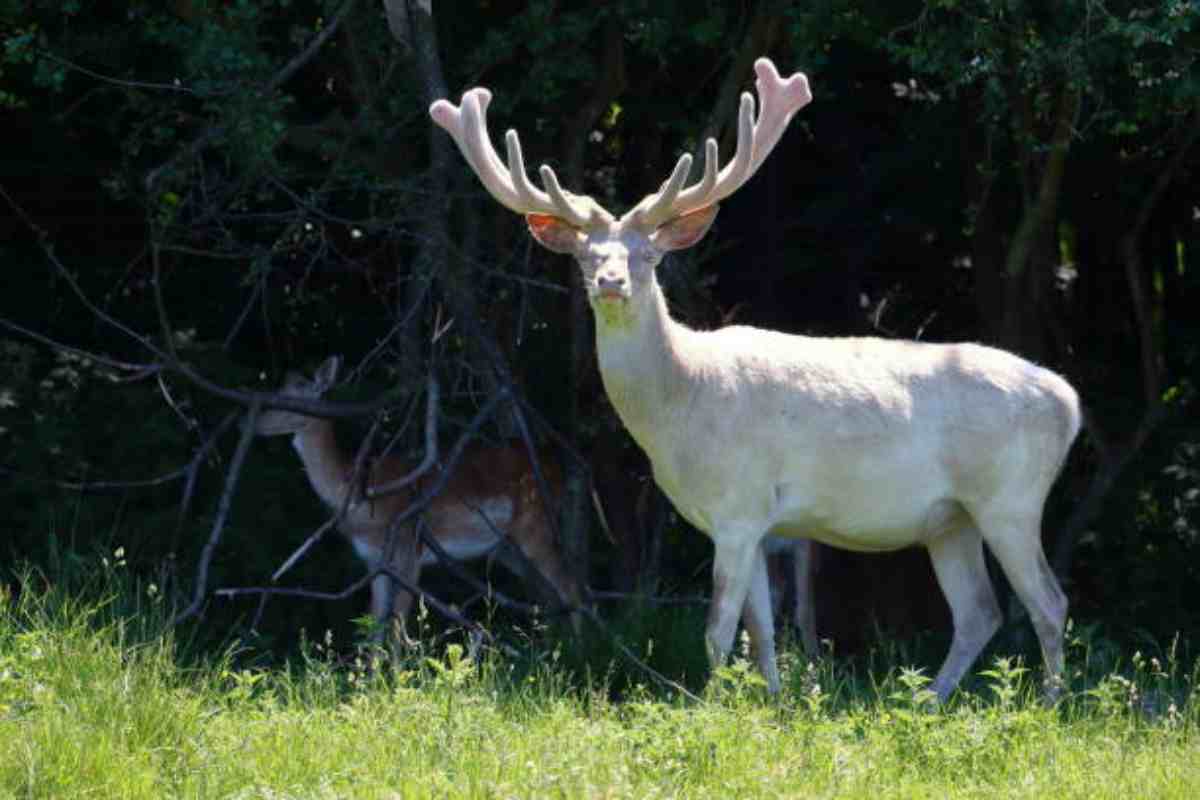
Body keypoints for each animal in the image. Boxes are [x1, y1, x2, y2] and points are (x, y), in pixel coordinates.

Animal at [258, 357, 585, 638]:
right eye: (279, 389)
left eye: (298, 397)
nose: (257, 420)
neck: (361, 497)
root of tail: (556, 464)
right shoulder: (374, 561)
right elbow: (375, 625)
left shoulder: (408, 548)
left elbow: (397, 626)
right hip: (507, 547)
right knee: (550, 593)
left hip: (535, 524)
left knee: (572, 587)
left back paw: (583, 654)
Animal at [429, 57, 1080, 700]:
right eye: (587, 256)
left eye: (648, 256)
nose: (611, 283)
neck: (680, 405)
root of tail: (1069, 403)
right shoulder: (759, 522)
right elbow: (761, 631)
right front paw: (772, 703)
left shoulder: (738, 506)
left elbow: (719, 629)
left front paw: (711, 707)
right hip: (951, 518)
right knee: (978, 612)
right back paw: (928, 703)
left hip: (1011, 496)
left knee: (1049, 603)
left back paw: (1046, 707)